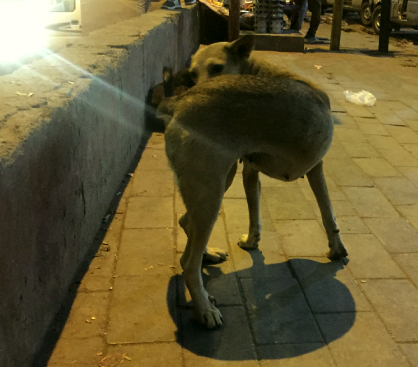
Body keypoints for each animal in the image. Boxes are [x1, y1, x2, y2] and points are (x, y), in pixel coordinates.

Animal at [158, 69, 348, 330]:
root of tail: (180, 101)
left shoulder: (250, 170)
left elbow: (254, 211)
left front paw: (251, 240)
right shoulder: (316, 168)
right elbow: (328, 212)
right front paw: (337, 249)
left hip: (216, 184)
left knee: (187, 223)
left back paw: (208, 261)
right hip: (211, 194)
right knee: (188, 262)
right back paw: (205, 309)